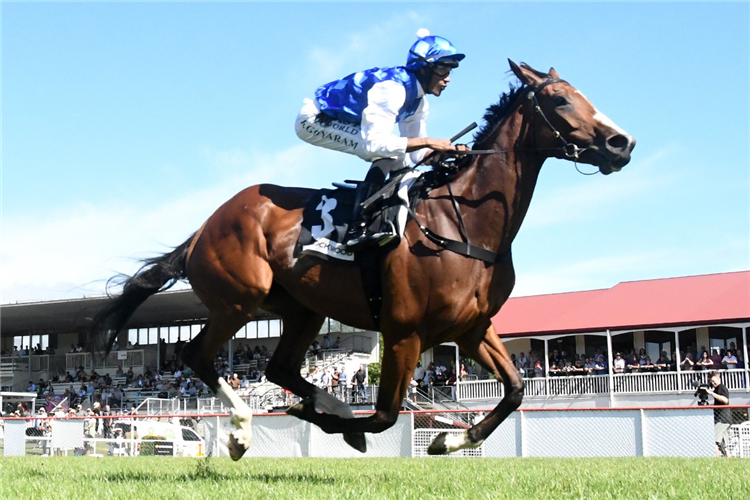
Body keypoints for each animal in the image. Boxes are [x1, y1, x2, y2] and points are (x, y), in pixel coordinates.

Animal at [92, 58, 636, 458]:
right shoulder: (404, 331)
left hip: (301, 309)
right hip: (238, 300)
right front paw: (328, 420)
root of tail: (205, 227)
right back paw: (245, 429)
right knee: (196, 355)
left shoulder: (472, 327)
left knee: (278, 369)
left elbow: (516, 389)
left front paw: (448, 439)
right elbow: (385, 414)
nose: (622, 142)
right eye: (560, 99)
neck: (464, 222)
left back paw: (321, 408)